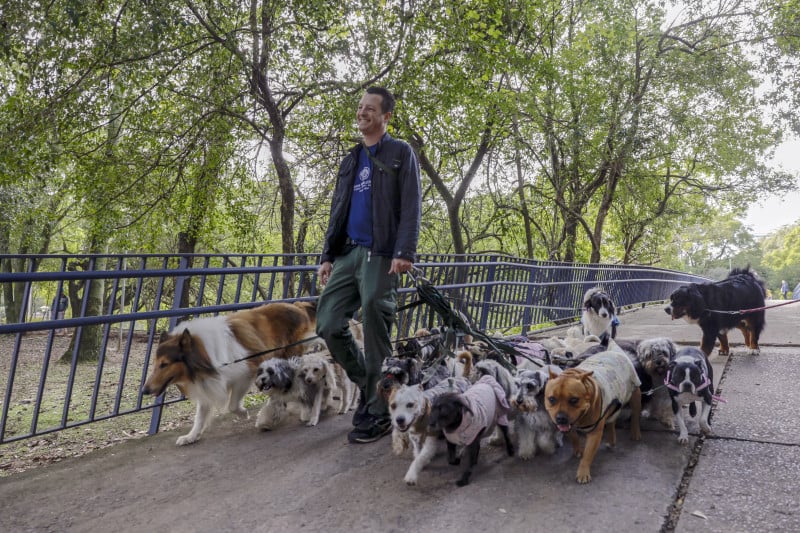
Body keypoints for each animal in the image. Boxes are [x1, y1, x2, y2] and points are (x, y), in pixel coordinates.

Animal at [143, 302, 312, 442]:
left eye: (164, 364)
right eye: (155, 363)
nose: (145, 390)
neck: (204, 355)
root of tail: (297, 306)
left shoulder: (244, 375)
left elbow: (232, 405)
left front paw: (244, 413)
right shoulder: (208, 383)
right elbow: (200, 415)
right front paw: (191, 436)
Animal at [540, 350, 640, 482]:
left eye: (574, 400)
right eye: (551, 399)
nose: (560, 418)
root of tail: (615, 351)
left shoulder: (595, 434)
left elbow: (588, 454)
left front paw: (583, 472)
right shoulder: (569, 427)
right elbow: (574, 437)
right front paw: (578, 450)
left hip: (635, 393)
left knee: (635, 415)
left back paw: (635, 433)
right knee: (611, 420)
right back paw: (611, 440)